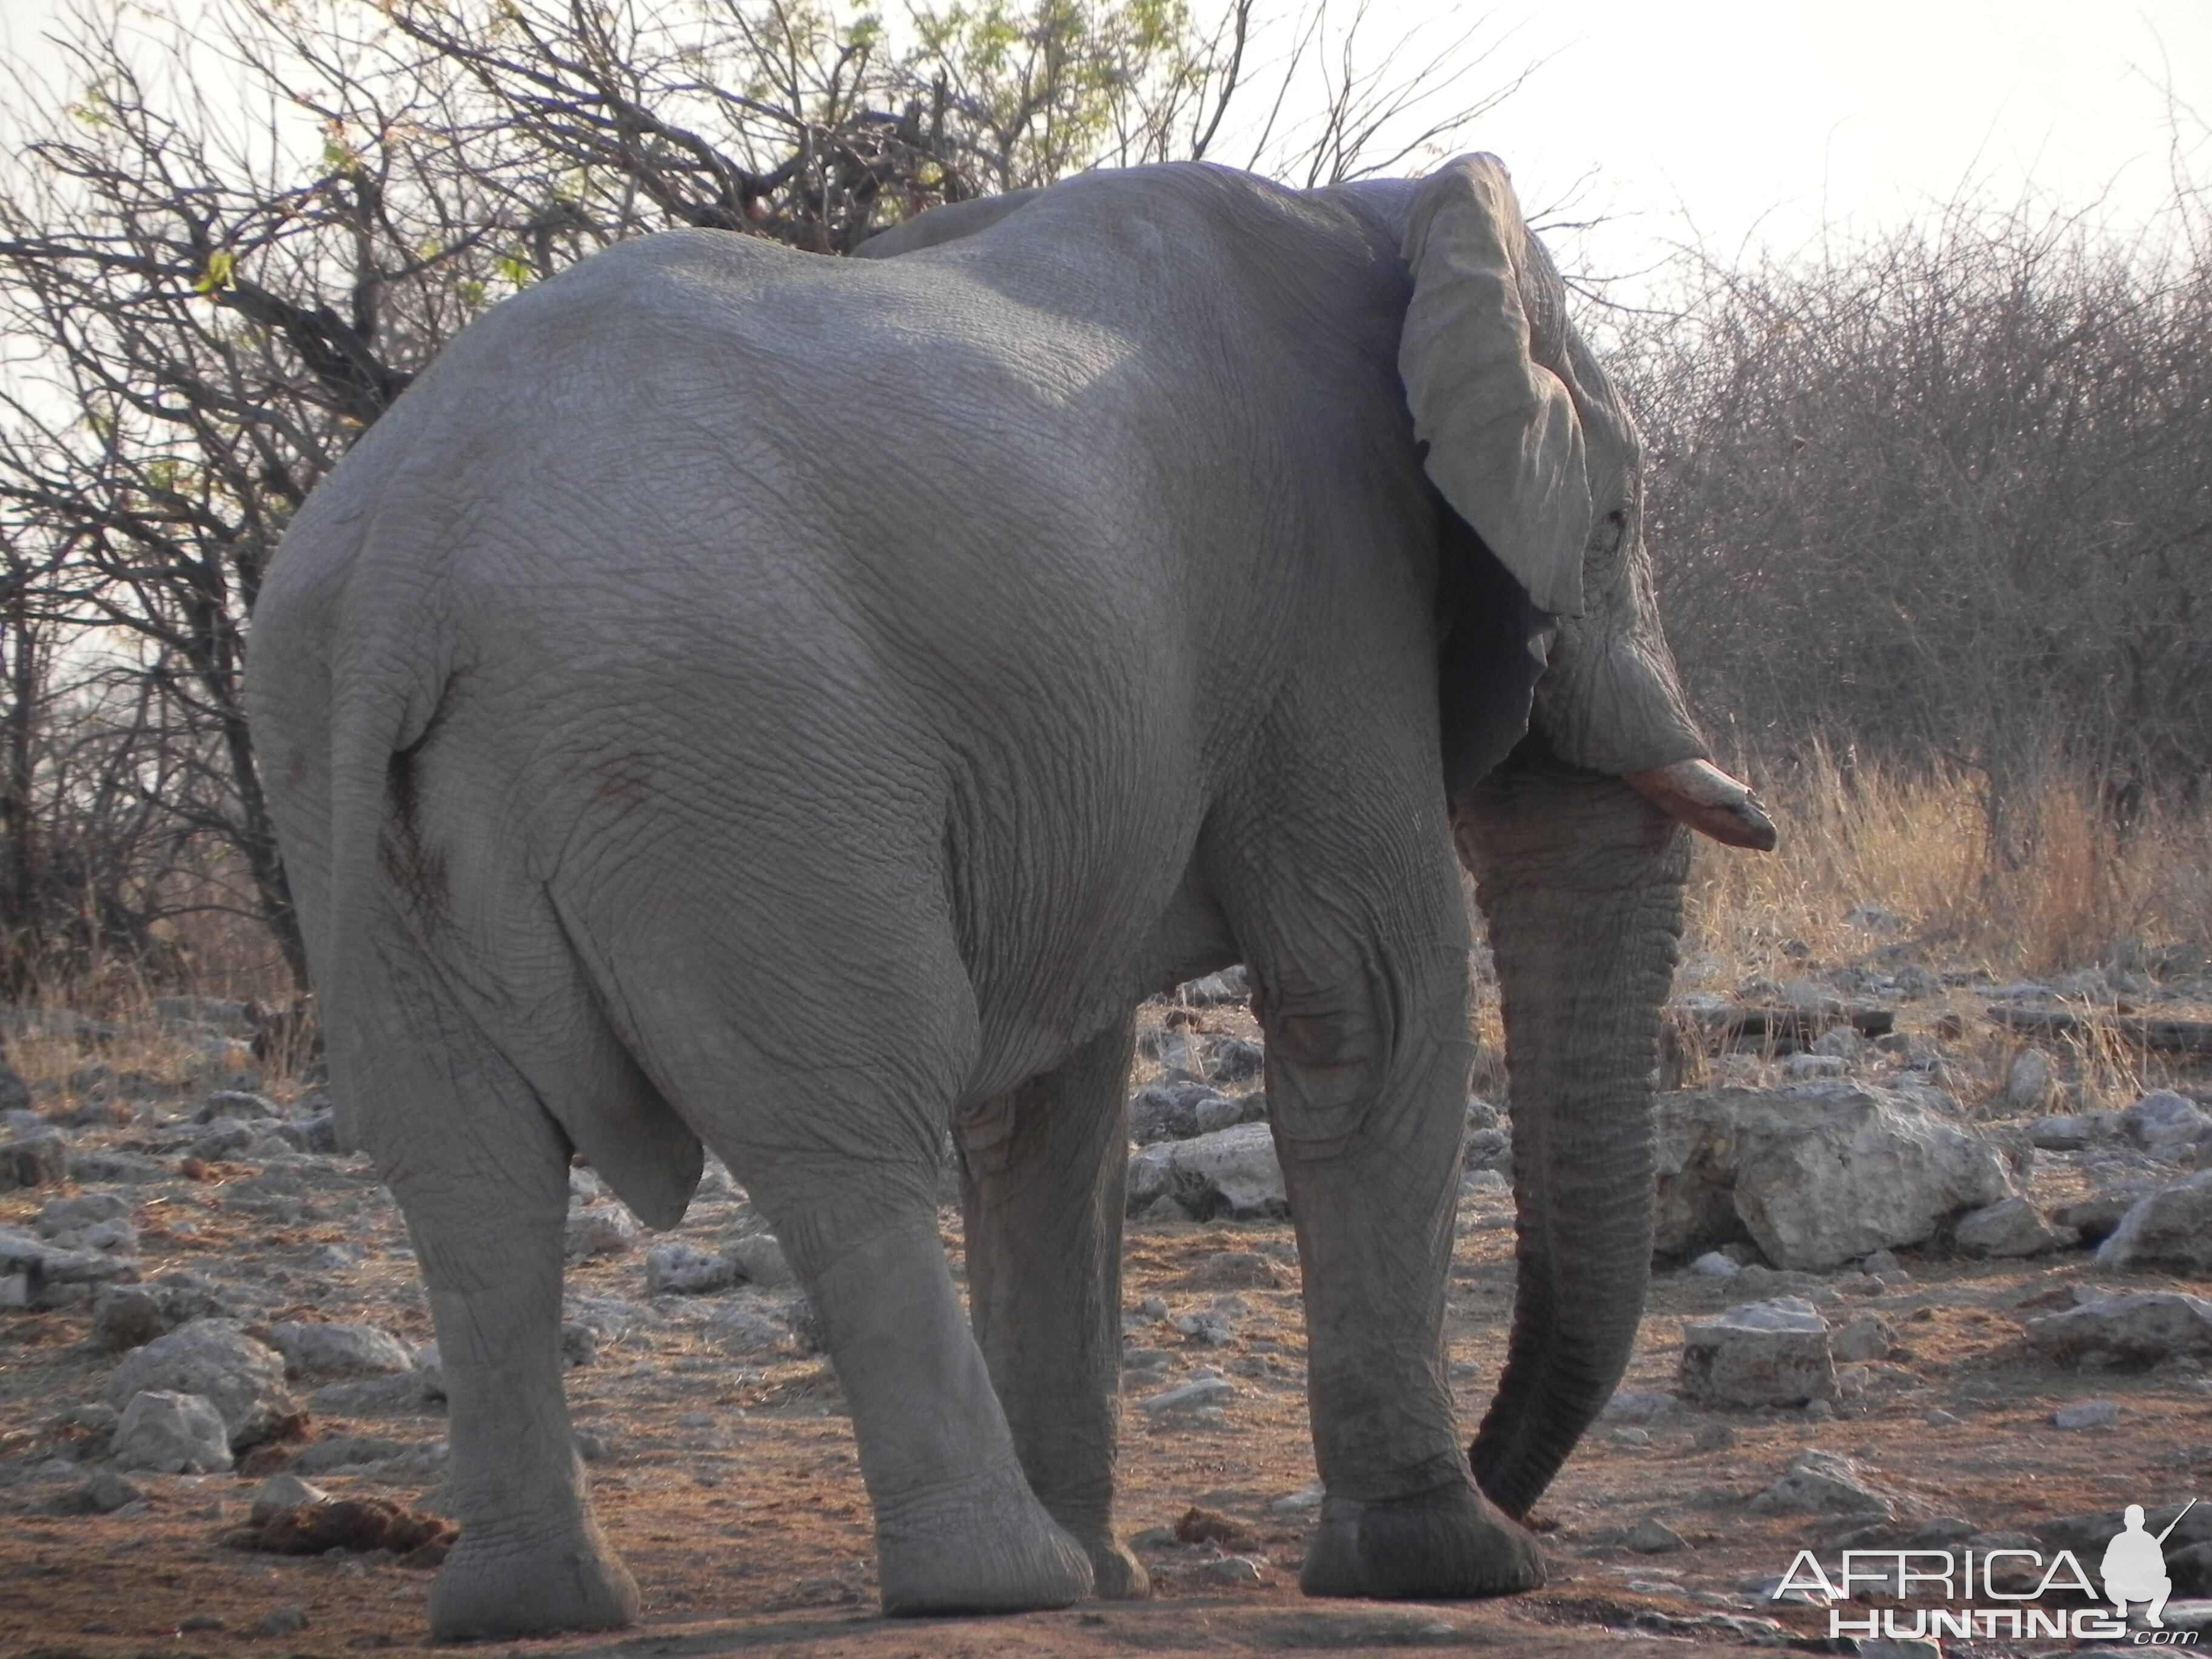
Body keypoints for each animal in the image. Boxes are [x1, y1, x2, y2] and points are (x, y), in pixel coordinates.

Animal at [251, 156, 1778, 1654]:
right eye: (1618, 523)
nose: (1518, 1492)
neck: (1379, 211)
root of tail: (406, 573)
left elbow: (1055, 1098)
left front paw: (1128, 1572)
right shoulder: (1328, 596)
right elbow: (1371, 994)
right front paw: (1446, 1564)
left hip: (341, 789)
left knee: (471, 1171)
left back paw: (539, 1605)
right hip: (727, 751)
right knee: (845, 1128)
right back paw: (995, 1578)